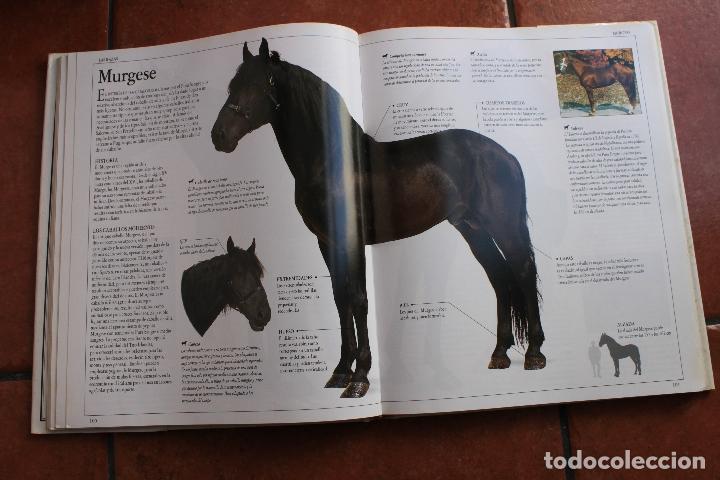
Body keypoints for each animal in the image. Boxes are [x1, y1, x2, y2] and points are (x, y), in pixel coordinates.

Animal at [211, 38, 545, 398]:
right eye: (232, 85)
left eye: (260, 84)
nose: (219, 136)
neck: (334, 163)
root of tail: (505, 154)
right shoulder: (326, 243)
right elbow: (340, 299)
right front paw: (340, 372)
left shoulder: (351, 242)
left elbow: (358, 299)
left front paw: (359, 378)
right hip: (473, 229)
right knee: (499, 277)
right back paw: (499, 354)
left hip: (503, 225)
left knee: (523, 271)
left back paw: (534, 353)